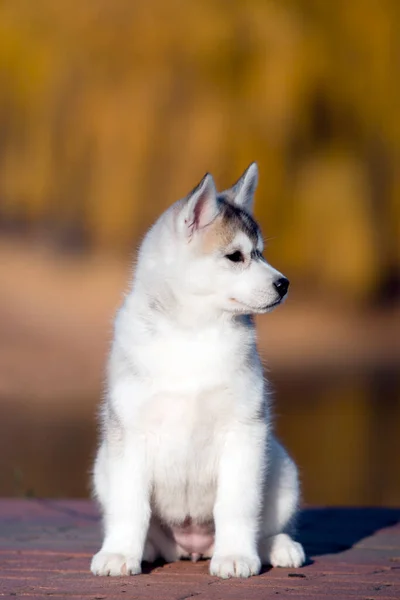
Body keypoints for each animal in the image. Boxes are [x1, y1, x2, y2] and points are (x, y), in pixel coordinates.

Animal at [90, 164, 304, 576]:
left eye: (260, 253)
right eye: (236, 257)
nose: (284, 284)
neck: (192, 333)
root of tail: (191, 547)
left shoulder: (244, 430)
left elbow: (236, 505)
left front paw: (236, 555)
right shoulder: (130, 434)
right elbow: (130, 507)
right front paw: (120, 553)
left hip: (282, 468)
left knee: (266, 525)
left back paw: (277, 546)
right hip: (102, 465)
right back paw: (146, 549)